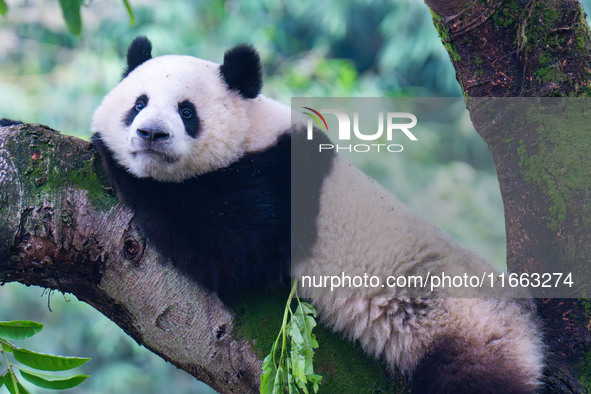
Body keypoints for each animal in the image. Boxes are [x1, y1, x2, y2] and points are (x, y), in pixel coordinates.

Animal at [91, 36, 544, 390]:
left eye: (187, 111)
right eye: (139, 103)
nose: (150, 134)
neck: (253, 130)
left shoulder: (277, 185)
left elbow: (232, 254)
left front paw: (109, 155)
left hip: (467, 329)